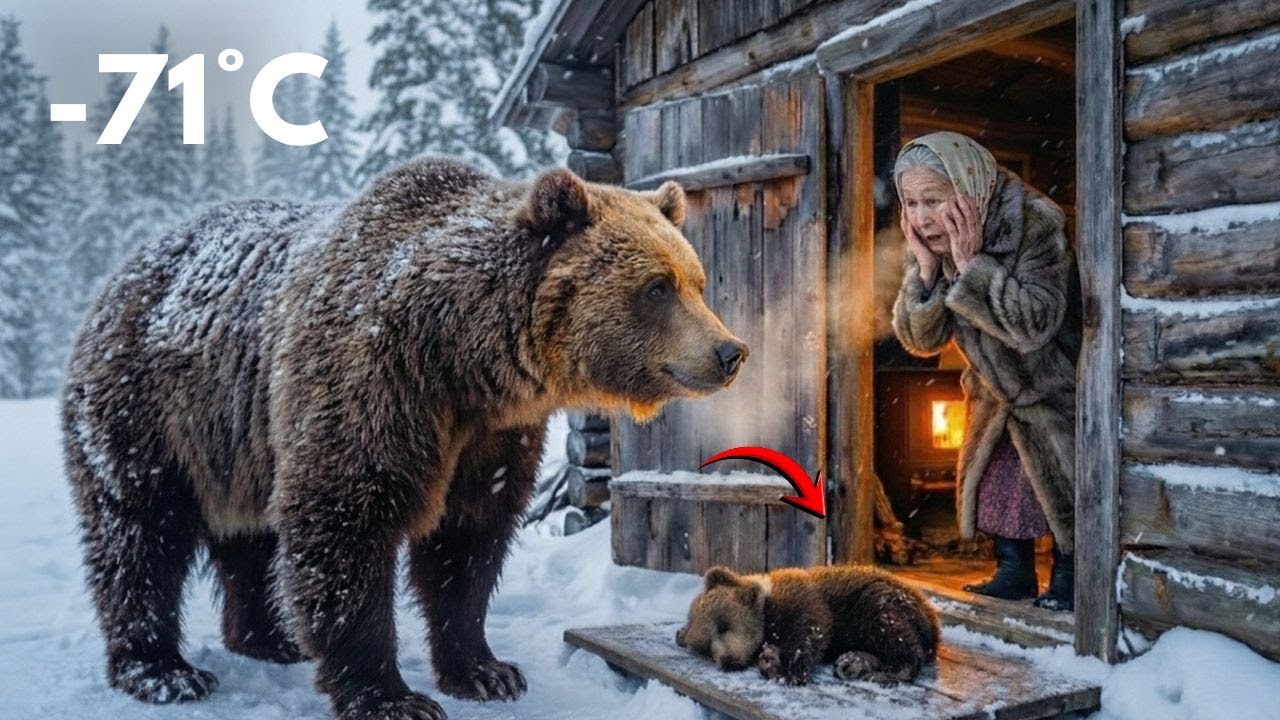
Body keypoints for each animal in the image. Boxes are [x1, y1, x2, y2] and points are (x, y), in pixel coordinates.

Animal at [61, 157, 748, 720]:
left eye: (696, 279)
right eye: (656, 287)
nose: (729, 352)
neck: (462, 359)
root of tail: (121, 272)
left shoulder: (490, 436)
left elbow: (468, 543)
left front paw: (486, 670)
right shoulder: (372, 388)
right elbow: (346, 528)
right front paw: (391, 697)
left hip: (239, 444)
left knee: (249, 539)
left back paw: (269, 637)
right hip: (150, 411)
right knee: (140, 532)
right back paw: (164, 671)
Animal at [675, 565, 940, 686]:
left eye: (723, 625)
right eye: (706, 647)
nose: (728, 659)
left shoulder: (802, 599)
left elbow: (812, 630)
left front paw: (790, 669)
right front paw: (771, 661)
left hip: (876, 602)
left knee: (896, 635)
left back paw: (885, 671)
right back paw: (853, 663)